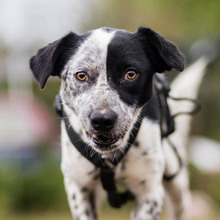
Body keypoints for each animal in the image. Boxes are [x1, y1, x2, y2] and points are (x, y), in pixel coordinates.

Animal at [29, 27, 206, 220]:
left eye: (130, 74)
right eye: (81, 75)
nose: (102, 120)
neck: (109, 158)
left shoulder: (149, 192)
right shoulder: (80, 189)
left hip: (178, 187)